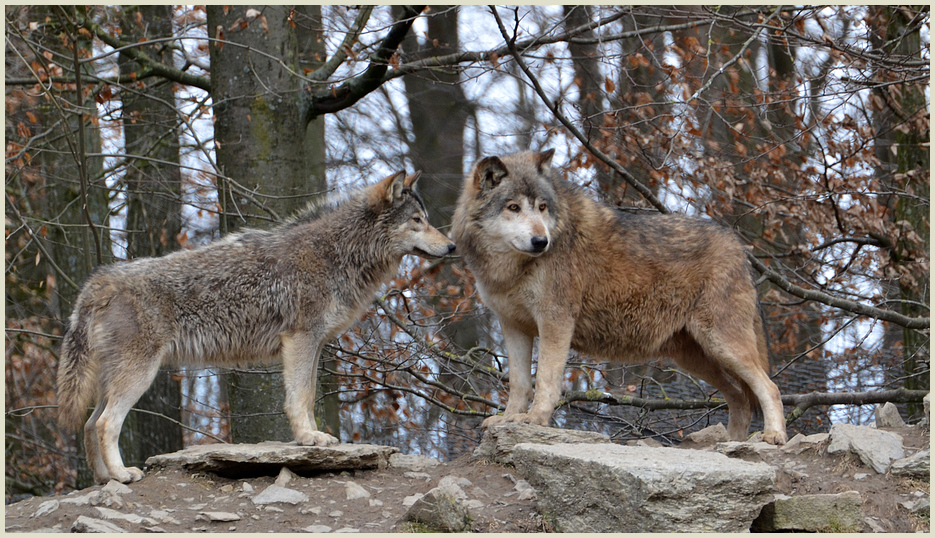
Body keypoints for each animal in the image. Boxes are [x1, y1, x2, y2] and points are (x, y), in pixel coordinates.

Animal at [55, 171, 458, 482]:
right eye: (417, 221)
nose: (453, 246)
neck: (337, 253)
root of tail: (98, 282)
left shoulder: (313, 344)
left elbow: (307, 395)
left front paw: (311, 437)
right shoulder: (300, 339)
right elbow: (301, 397)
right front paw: (309, 438)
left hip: (117, 378)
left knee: (89, 425)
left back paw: (104, 479)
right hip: (139, 375)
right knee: (105, 424)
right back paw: (122, 475)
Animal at [450, 149, 788, 442]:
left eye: (542, 207)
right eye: (514, 207)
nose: (541, 241)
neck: (512, 268)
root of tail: (738, 246)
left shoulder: (555, 320)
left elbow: (545, 378)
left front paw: (534, 420)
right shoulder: (513, 325)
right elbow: (520, 383)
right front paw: (508, 419)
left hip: (721, 344)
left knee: (769, 387)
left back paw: (773, 436)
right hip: (694, 356)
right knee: (740, 398)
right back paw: (730, 445)